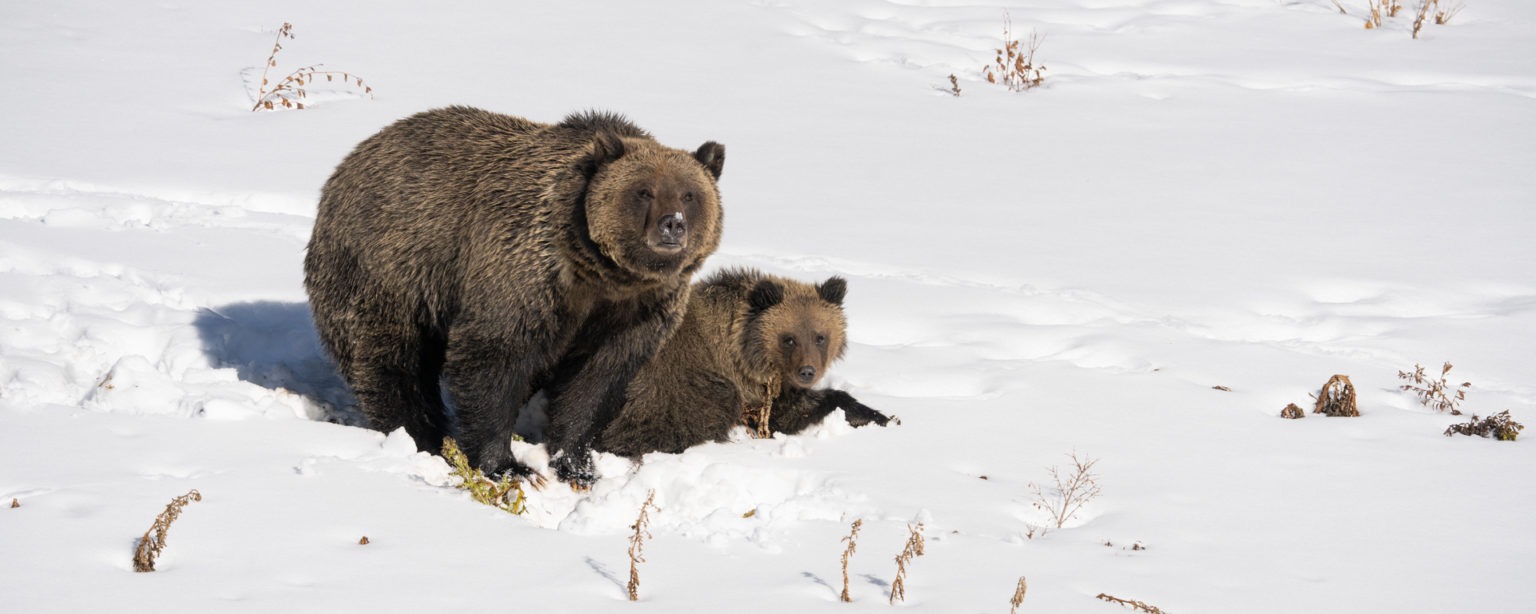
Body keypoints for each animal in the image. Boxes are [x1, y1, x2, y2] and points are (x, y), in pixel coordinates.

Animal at [303, 106, 725, 487]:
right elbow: (494, 362)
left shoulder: (634, 311)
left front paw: (578, 467)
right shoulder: (524, 276)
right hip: (392, 266)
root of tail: (349, 162)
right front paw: (509, 467)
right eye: (644, 191)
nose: (672, 225)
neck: (600, 275)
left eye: (689, 194)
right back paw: (419, 436)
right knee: (394, 361)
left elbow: (595, 382)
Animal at [597, 267, 895, 459]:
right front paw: (878, 415)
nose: (807, 372)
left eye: (820, 336)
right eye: (789, 339)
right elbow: (785, 415)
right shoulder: (747, 381)